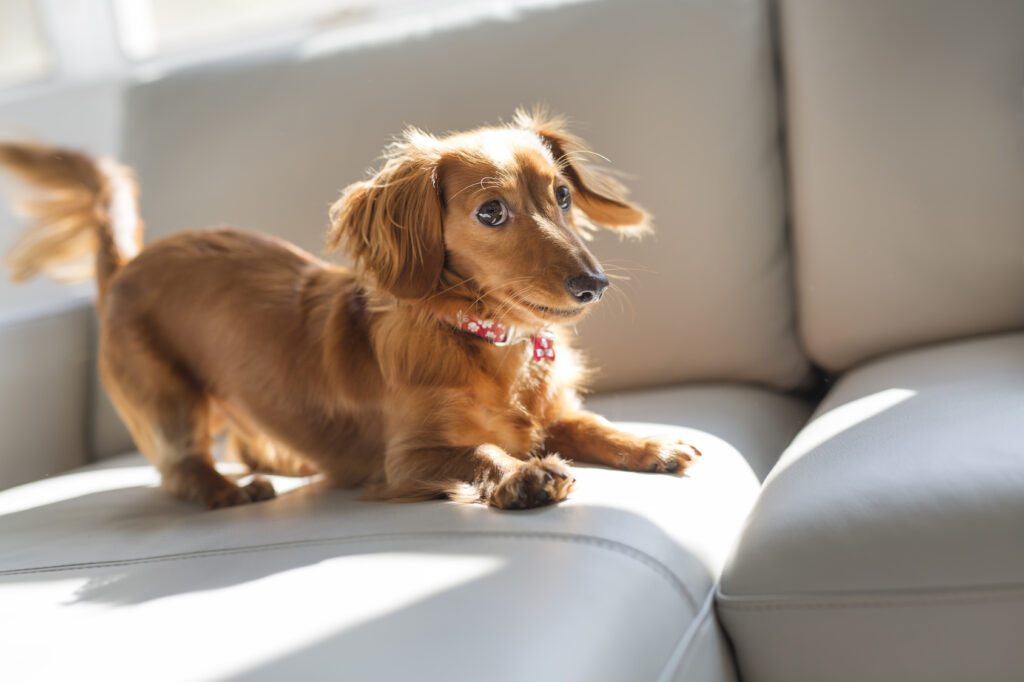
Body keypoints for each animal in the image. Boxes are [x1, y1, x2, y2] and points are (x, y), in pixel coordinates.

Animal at [0, 109, 700, 507]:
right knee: (182, 469)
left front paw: (652, 443)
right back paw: (230, 491)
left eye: (562, 195)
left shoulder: (555, 415)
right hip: (169, 400)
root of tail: (127, 266)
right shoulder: (407, 457)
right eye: (491, 212)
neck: (488, 340)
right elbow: (478, 451)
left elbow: (591, 427)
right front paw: (521, 476)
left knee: (248, 442)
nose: (593, 284)